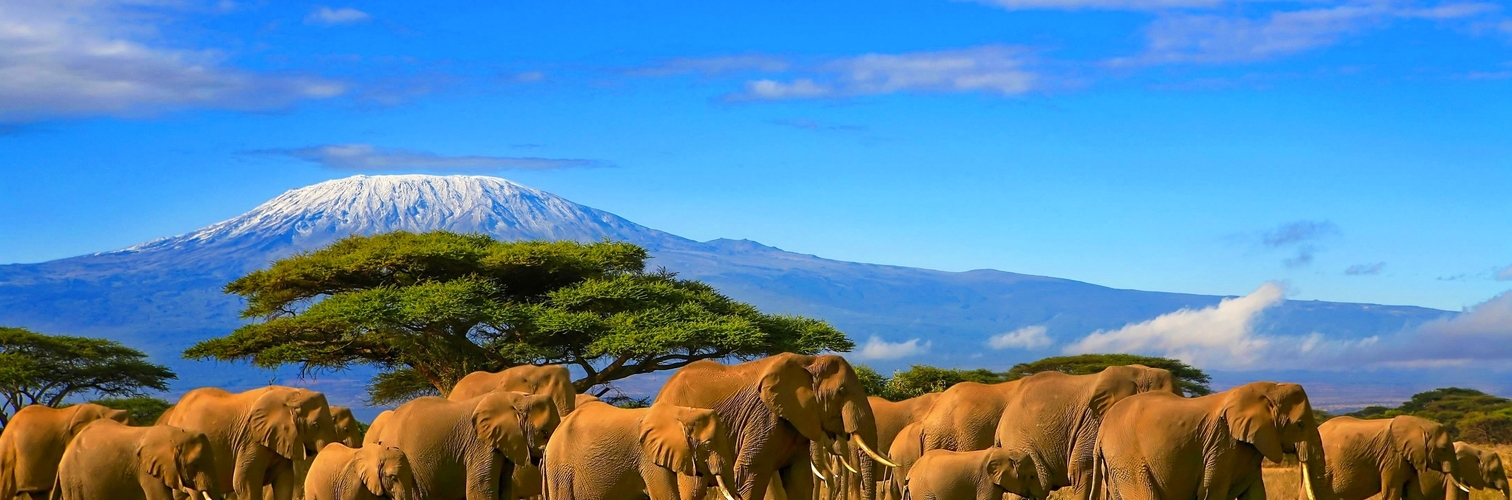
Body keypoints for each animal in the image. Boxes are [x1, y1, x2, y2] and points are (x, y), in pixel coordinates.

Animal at [650, 353, 894, 500]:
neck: (808, 361)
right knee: (693, 488)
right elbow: (748, 473)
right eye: (841, 391)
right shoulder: (764, 417)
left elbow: (799, 480)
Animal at [1092, 381, 1333, 500]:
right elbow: (1211, 490)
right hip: (1128, 461)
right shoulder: (1222, 443)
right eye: (1300, 424)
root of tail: (1101, 434)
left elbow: (1255, 492)